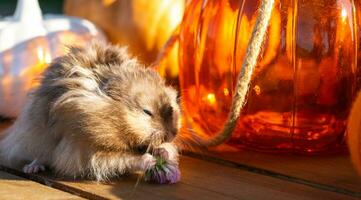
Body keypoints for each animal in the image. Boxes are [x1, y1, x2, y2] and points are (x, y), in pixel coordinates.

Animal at [0, 43, 180, 180]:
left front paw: (163, 152)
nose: (173, 135)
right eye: (146, 112)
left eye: (172, 105)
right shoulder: (86, 151)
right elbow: (122, 159)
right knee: (37, 154)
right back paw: (31, 168)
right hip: (34, 132)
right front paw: (149, 159)